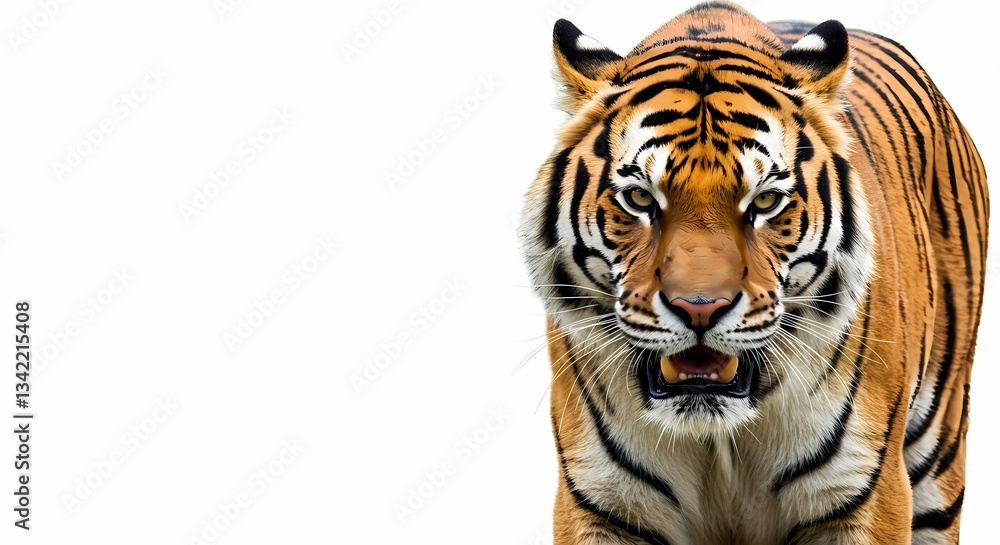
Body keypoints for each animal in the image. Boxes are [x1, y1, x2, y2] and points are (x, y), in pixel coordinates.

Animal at [517, 2, 988, 544]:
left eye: (764, 202)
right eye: (639, 198)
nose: (700, 308)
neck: (716, 438)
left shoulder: (864, 496)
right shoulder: (600, 501)